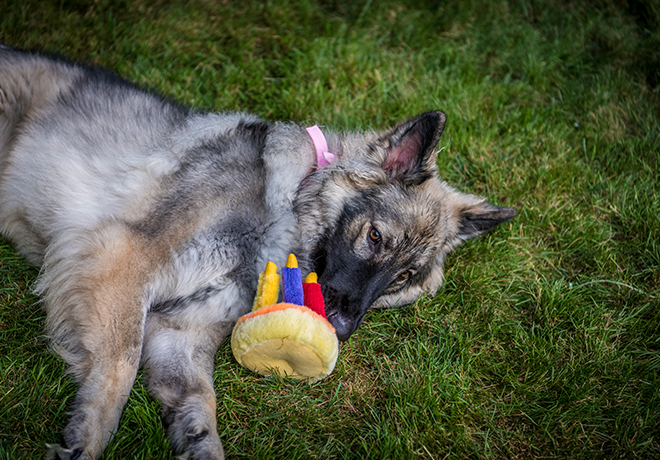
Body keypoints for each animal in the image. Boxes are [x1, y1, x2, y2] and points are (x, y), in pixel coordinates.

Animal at [0, 47, 516, 460]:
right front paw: (85, 440)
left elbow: (199, 408)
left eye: (403, 277)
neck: (286, 207)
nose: (342, 331)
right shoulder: (122, 257)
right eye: (374, 237)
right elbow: (120, 368)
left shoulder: (179, 333)